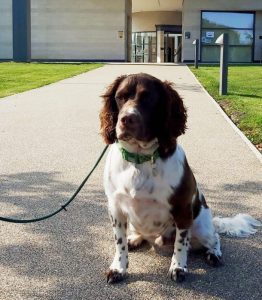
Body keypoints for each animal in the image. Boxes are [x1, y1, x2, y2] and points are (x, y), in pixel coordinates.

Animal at [99, 72, 260, 284]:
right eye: (120, 97)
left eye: (148, 99)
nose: (126, 119)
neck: (140, 160)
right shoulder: (115, 208)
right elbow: (119, 242)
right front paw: (119, 267)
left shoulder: (182, 209)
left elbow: (181, 243)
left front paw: (178, 267)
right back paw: (134, 238)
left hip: (201, 226)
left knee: (215, 238)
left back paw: (214, 254)